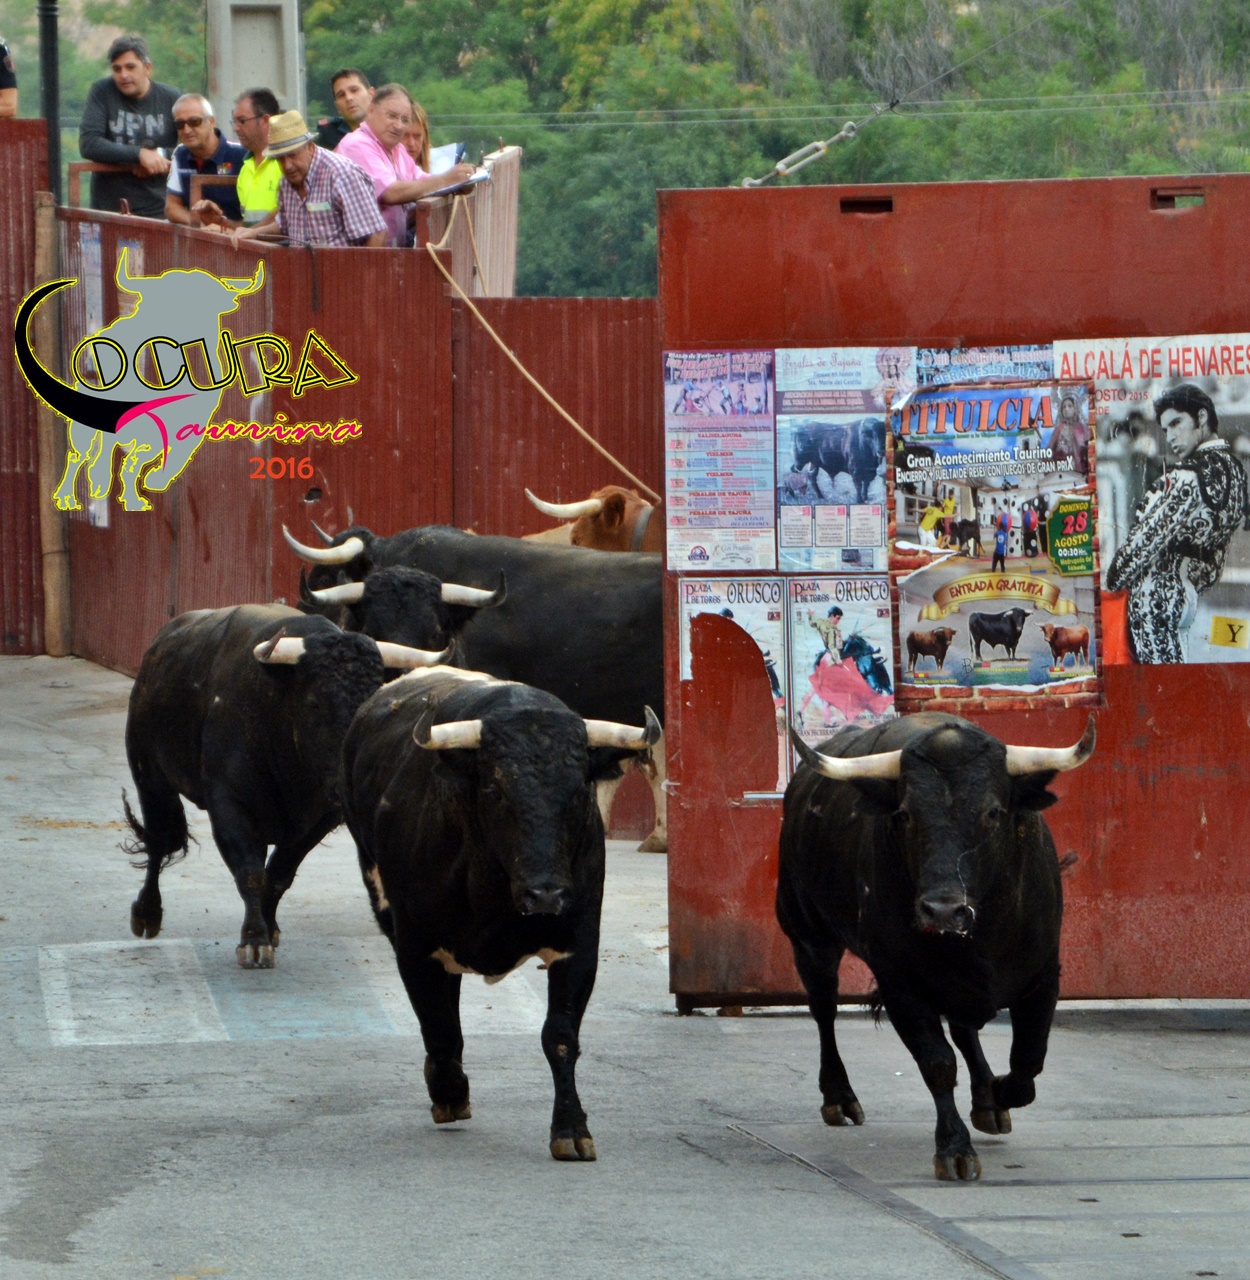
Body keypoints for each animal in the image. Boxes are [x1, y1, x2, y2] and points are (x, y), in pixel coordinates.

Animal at [123, 604, 449, 968]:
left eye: (369, 703)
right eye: (314, 703)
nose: (347, 780)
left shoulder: (322, 816)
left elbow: (278, 874)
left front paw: (267, 929)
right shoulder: (229, 805)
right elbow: (251, 873)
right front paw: (254, 942)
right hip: (149, 775)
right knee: (157, 840)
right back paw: (147, 914)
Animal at [340, 666, 660, 1160]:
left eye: (578, 790)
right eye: (495, 789)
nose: (546, 895)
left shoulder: (580, 944)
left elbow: (560, 1036)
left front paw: (571, 1128)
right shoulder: (415, 947)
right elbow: (437, 1024)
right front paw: (450, 1094)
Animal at [776, 712, 1095, 1180]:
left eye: (994, 812)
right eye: (906, 814)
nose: (943, 911)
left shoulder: (1042, 975)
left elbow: (1027, 1062)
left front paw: (997, 1093)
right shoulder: (901, 985)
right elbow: (938, 1064)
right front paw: (954, 1148)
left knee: (966, 1032)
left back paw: (987, 1102)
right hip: (809, 937)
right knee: (824, 1009)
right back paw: (839, 1097)